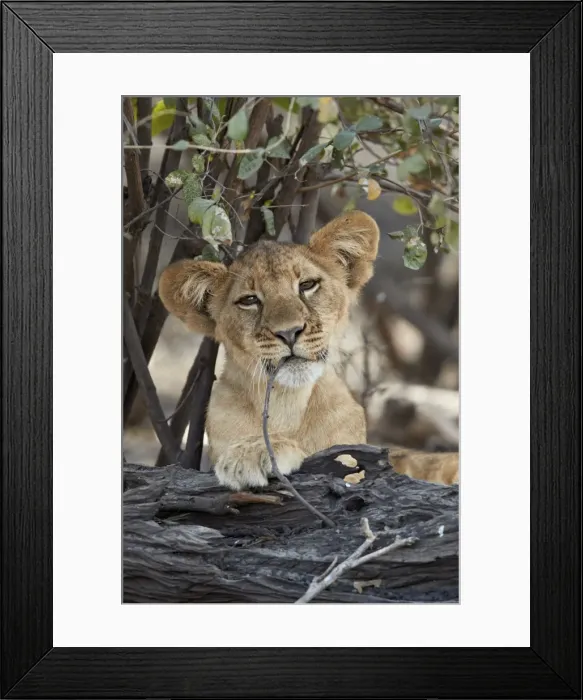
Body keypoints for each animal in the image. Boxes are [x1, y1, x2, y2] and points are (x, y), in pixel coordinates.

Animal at [158, 211, 459, 490]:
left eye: (307, 285)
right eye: (249, 300)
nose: (289, 332)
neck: (286, 402)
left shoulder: (356, 463)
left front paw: (257, 452)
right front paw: (250, 452)